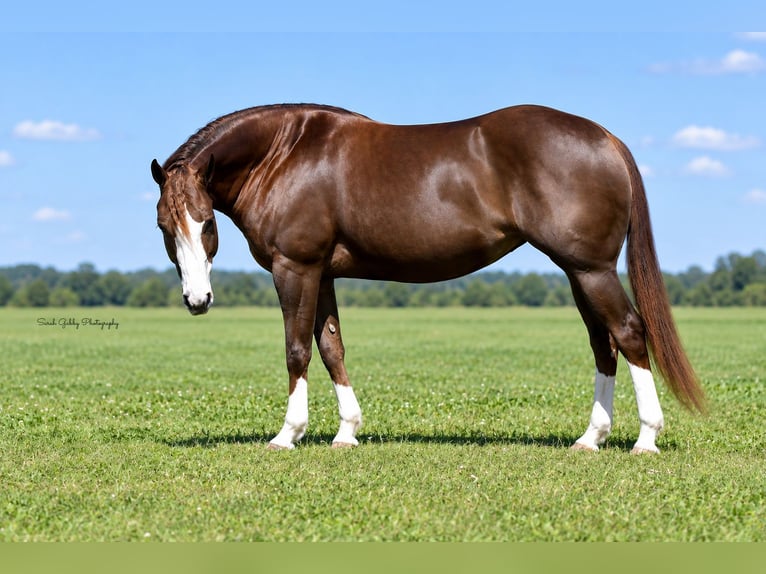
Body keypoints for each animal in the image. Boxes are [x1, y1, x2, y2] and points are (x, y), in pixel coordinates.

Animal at [151, 103, 706, 454]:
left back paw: (646, 439)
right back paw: (591, 439)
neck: (286, 153)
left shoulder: (297, 268)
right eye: (164, 226)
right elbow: (332, 347)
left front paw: (289, 434)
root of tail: (606, 139)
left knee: (629, 333)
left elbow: (297, 350)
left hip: (592, 271)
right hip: (578, 272)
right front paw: (346, 432)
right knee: (603, 344)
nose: (197, 299)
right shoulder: (322, 274)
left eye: (206, 223)